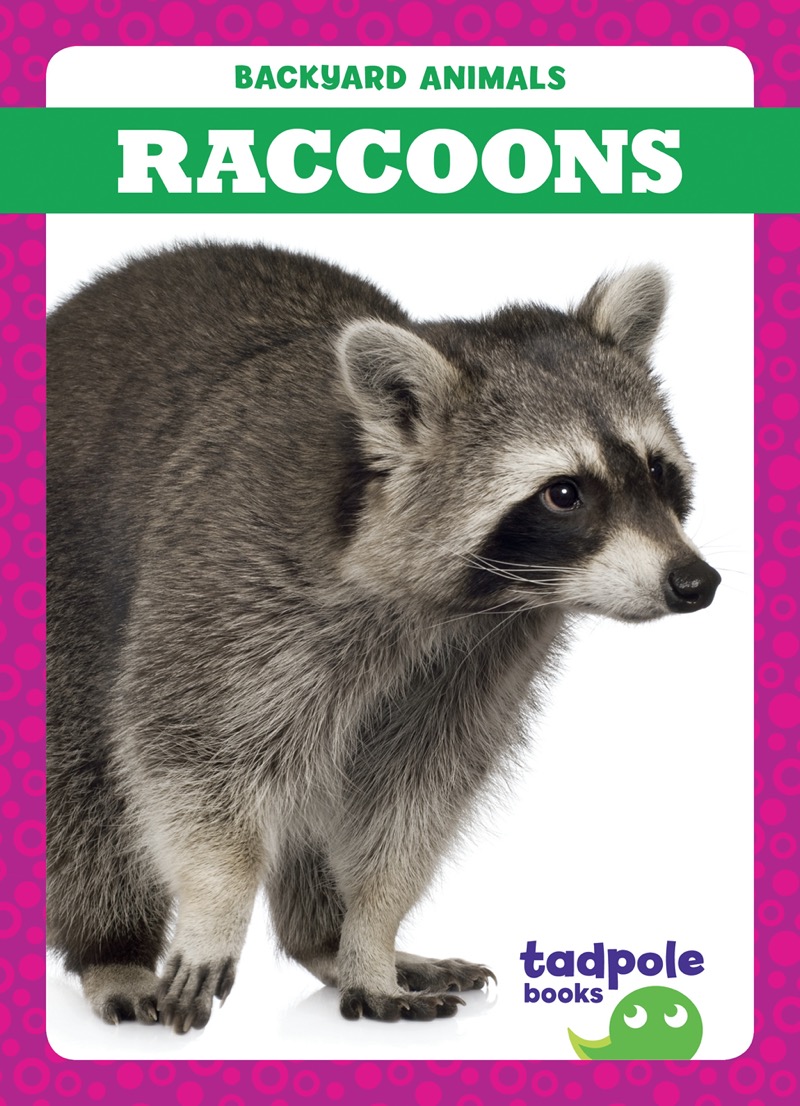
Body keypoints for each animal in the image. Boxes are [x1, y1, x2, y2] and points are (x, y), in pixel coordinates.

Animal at [47, 243, 720, 1032]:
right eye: (565, 493)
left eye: (655, 470)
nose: (694, 581)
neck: (459, 603)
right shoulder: (233, 575)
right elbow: (193, 753)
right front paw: (215, 903)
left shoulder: (485, 653)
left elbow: (415, 792)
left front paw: (369, 932)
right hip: (64, 577)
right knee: (87, 778)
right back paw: (113, 949)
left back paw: (324, 940)